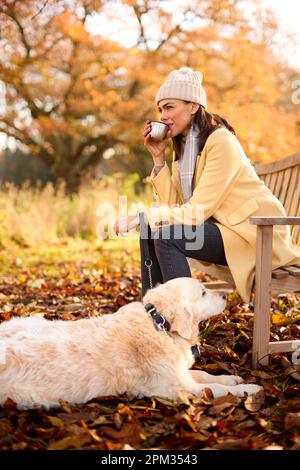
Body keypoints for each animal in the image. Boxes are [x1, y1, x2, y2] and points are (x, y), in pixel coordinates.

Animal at [0, 280, 262, 408]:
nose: (226, 296)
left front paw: (232, 378)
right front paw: (249, 389)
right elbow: (215, 389)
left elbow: (206, 375)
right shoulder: (176, 388)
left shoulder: (179, 373)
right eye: (203, 293)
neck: (159, 323)